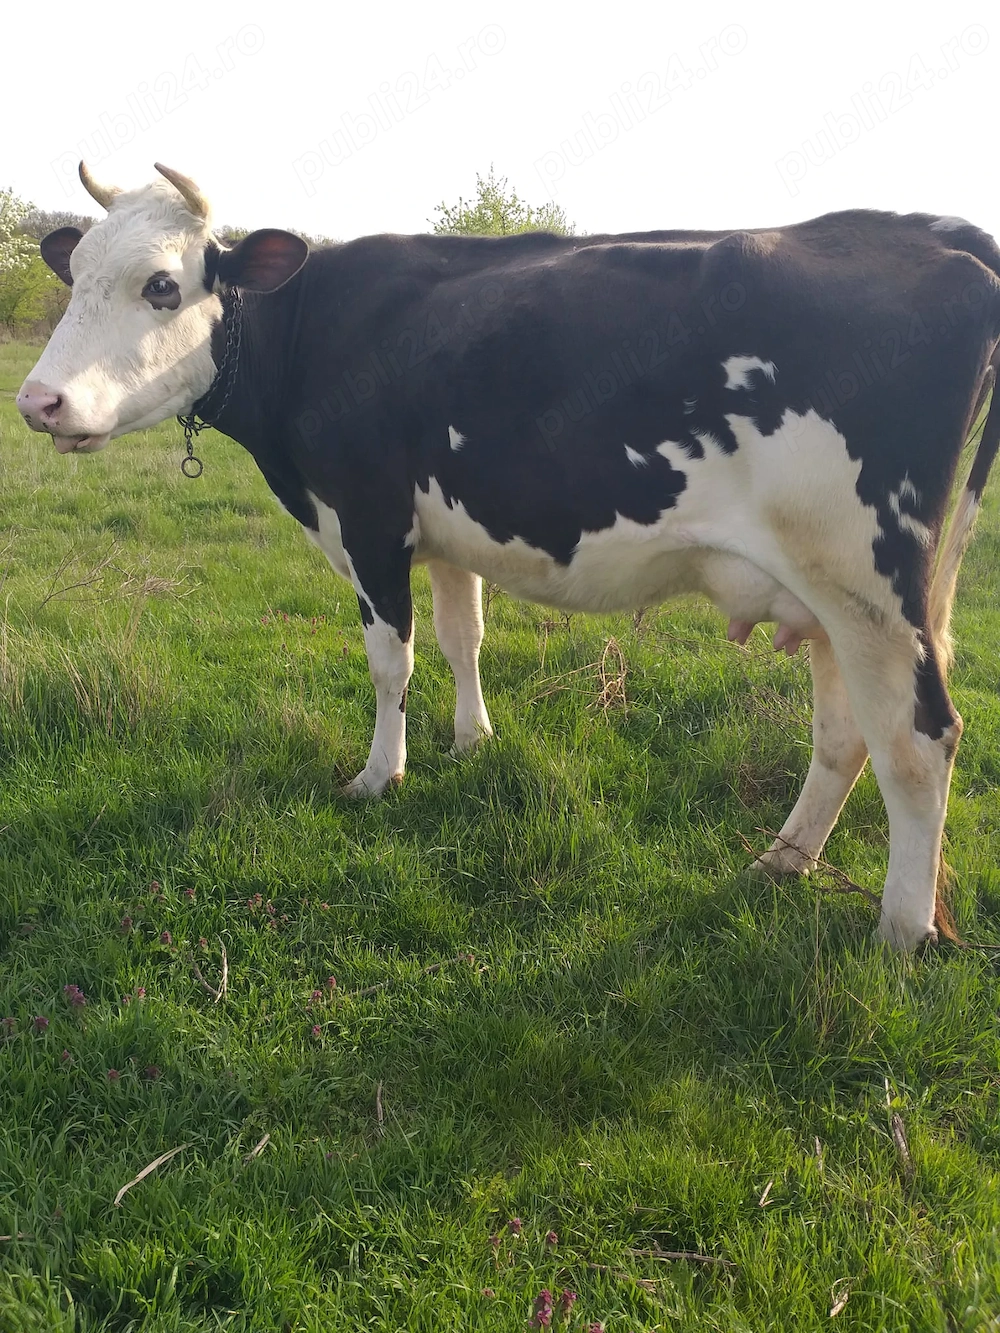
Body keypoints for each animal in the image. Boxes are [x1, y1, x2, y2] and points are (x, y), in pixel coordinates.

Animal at [16, 162, 1000, 952]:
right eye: (76, 275)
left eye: (160, 286)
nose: (38, 400)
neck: (308, 333)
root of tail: (931, 231)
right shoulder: (444, 533)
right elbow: (462, 638)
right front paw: (471, 741)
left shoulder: (369, 520)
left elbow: (391, 660)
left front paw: (379, 775)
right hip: (827, 598)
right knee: (846, 734)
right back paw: (783, 860)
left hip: (872, 586)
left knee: (920, 740)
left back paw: (899, 931)